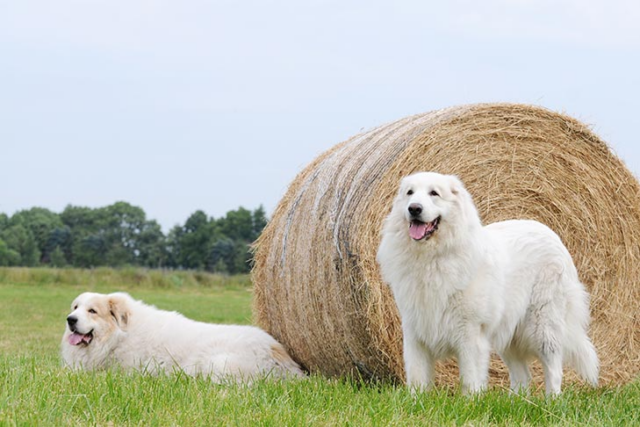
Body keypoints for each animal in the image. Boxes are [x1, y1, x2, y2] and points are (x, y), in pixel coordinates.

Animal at [61, 292, 304, 382]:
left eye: (92, 311)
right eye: (76, 307)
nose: (70, 319)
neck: (119, 335)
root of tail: (276, 350)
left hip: (218, 364)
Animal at [378, 172, 596, 396]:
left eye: (434, 193)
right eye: (410, 193)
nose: (414, 208)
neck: (432, 258)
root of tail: (552, 234)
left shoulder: (470, 333)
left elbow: (469, 378)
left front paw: (470, 401)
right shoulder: (415, 332)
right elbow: (417, 378)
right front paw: (416, 400)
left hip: (543, 326)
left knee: (554, 369)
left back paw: (552, 399)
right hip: (510, 334)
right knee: (522, 376)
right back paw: (516, 400)